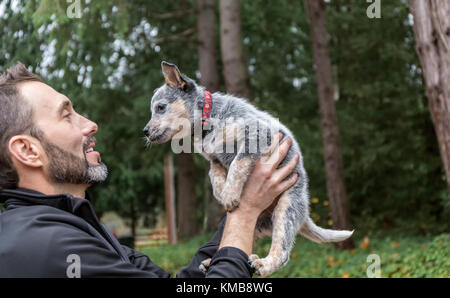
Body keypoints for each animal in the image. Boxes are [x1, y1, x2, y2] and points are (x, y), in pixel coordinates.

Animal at [144, 61, 356, 278]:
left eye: (160, 107)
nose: (145, 131)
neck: (208, 118)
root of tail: (304, 215)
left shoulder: (255, 136)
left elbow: (237, 165)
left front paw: (229, 195)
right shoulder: (215, 160)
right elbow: (215, 177)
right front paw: (223, 193)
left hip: (286, 209)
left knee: (282, 252)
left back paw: (263, 264)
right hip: (257, 226)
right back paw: (212, 261)